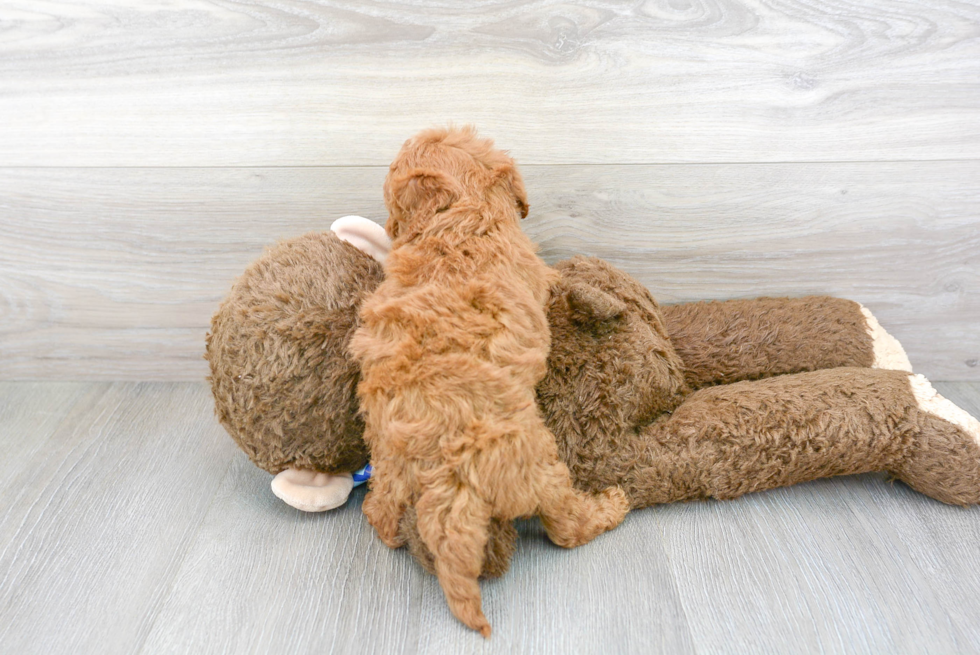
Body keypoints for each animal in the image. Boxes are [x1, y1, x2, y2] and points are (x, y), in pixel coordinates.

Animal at [352, 127, 628, 636]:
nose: (389, 227)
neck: (456, 214)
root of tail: (446, 480)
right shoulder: (537, 275)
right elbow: (561, 282)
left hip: (387, 469)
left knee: (382, 517)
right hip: (540, 469)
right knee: (565, 528)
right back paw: (609, 506)